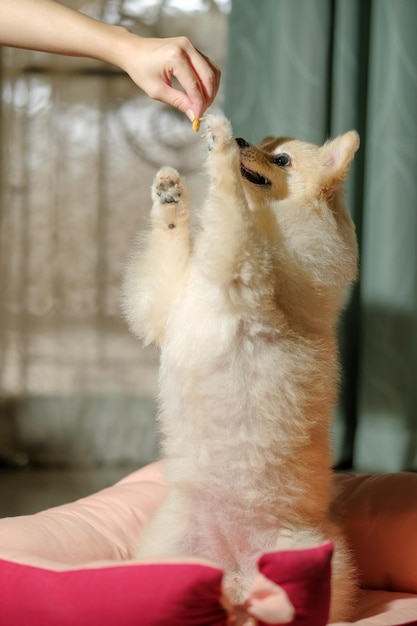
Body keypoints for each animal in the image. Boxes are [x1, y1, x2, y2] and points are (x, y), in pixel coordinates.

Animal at [122, 113, 360, 620]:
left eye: (282, 159)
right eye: (269, 145)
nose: (246, 138)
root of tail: (233, 575)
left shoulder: (243, 271)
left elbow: (229, 200)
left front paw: (222, 147)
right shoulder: (164, 301)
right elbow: (171, 246)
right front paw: (170, 194)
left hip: (304, 561)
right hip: (168, 550)